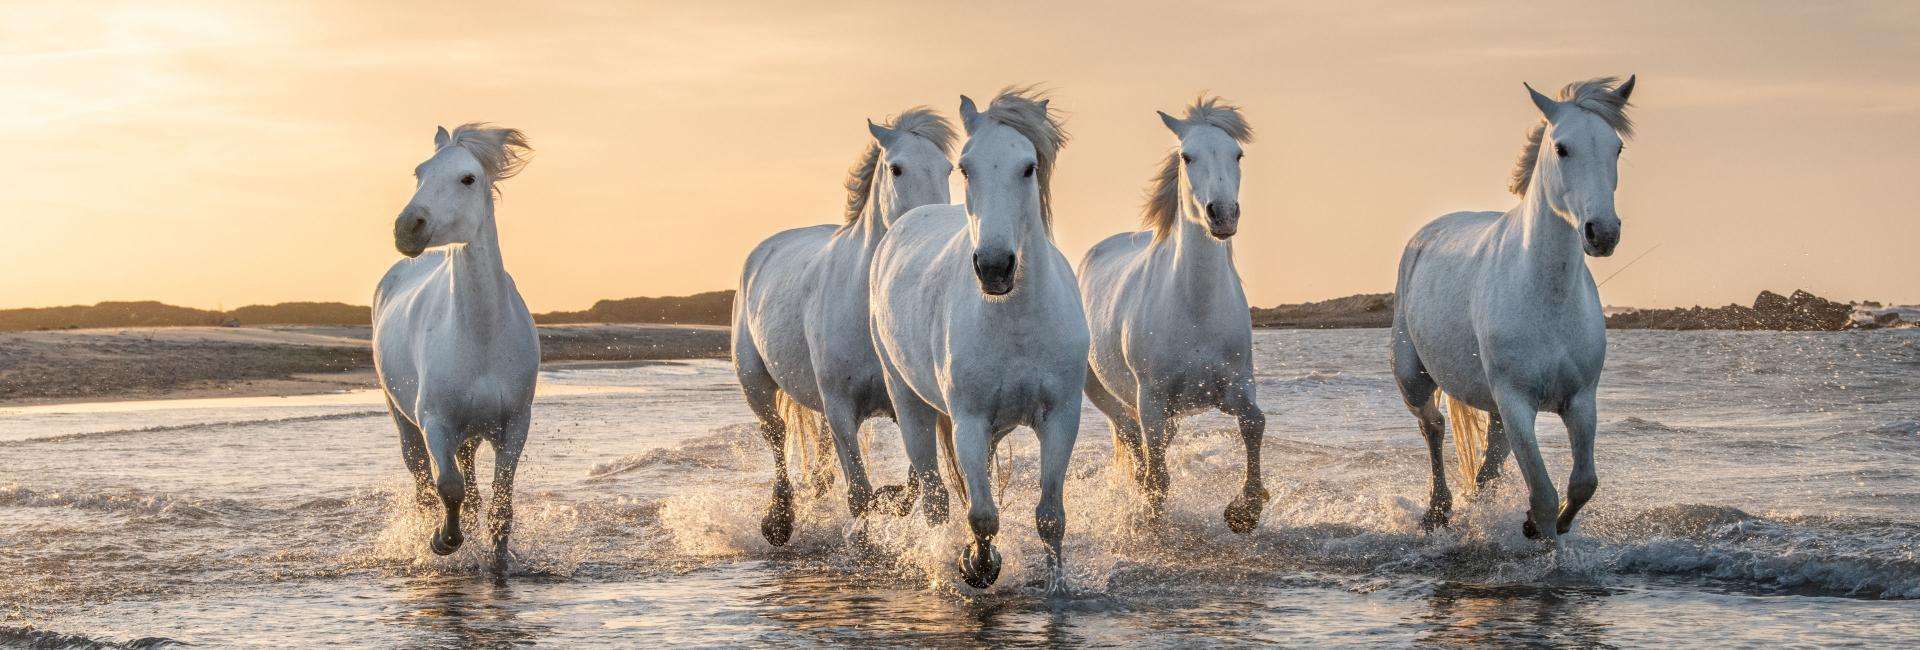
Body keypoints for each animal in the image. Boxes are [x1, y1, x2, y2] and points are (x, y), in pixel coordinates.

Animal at [729, 106, 956, 544]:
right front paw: (863, 542)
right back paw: (778, 522)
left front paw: (890, 501)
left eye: (948, 168)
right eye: (896, 168)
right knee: (777, 436)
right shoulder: (840, 407)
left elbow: (913, 482)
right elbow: (859, 494)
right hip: (756, 384)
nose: (931, 225)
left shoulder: (908, 402)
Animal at [867, 89, 1082, 594]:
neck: (1016, 320)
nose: (995, 266)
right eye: (965, 168)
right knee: (935, 497)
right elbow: (982, 514)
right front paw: (977, 566)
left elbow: (1050, 517)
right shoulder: (969, 420)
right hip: (909, 403)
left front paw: (1057, 589)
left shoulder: (1061, 418)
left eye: (1028, 166)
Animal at [1390, 73, 1643, 548]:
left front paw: (1543, 525)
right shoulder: (1516, 402)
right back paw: (1437, 512)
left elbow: (1583, 484)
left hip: (1493, 407)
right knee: (1433, 427)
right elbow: (1542, 493)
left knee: (1487, 464)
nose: (1602, 233)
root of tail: (1427, 234)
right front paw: (1543, 538)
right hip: (1414, 379)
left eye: (1616, 148)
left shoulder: (1580, 400)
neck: (1545, 297)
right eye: (1562, 148)